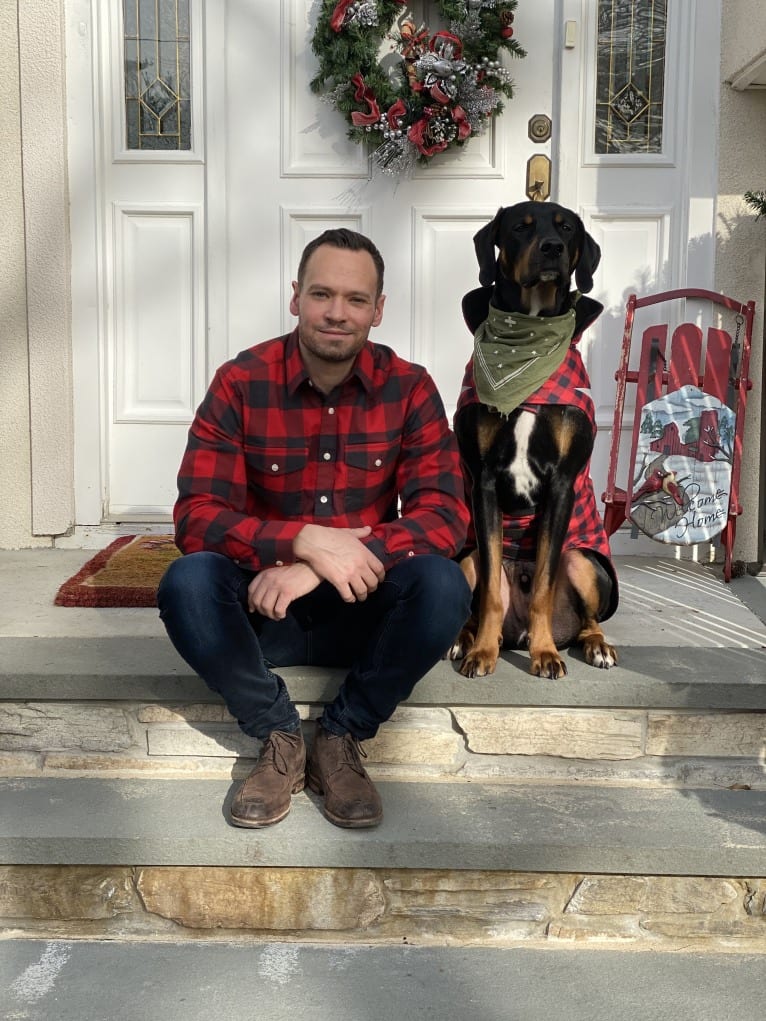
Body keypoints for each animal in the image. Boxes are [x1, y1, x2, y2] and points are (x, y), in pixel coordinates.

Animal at [449, 199, 616, 677]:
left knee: (588, 618)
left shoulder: (562, 483)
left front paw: (545, 654)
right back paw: (465, 639)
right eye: (521, 228)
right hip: (464, 558)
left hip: (584, 561)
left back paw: (594, 645)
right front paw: (482, 653)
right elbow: (489, 590)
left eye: (567, 228)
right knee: (474, 593)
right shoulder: (484, 481)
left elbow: (541, 584)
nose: (552, 249)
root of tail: (516, 632)